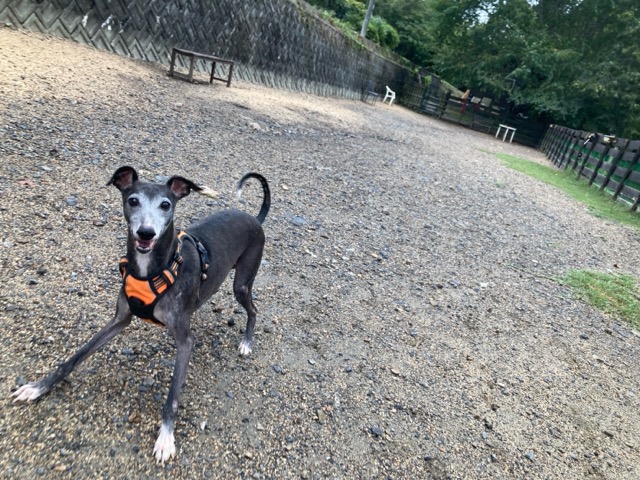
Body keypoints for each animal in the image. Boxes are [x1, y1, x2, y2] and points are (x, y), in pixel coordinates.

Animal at [12, 166, 270, 463]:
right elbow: (76, 356)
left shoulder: (185, 341)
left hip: (242, 283)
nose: (146, 233)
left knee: (253, 309)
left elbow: (172, 396)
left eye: (166, 204)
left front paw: (166, 437)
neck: (152, 270)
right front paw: (39, 387)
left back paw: (247, 342)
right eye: (133, 200)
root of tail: (253, 218)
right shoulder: (119, 319)